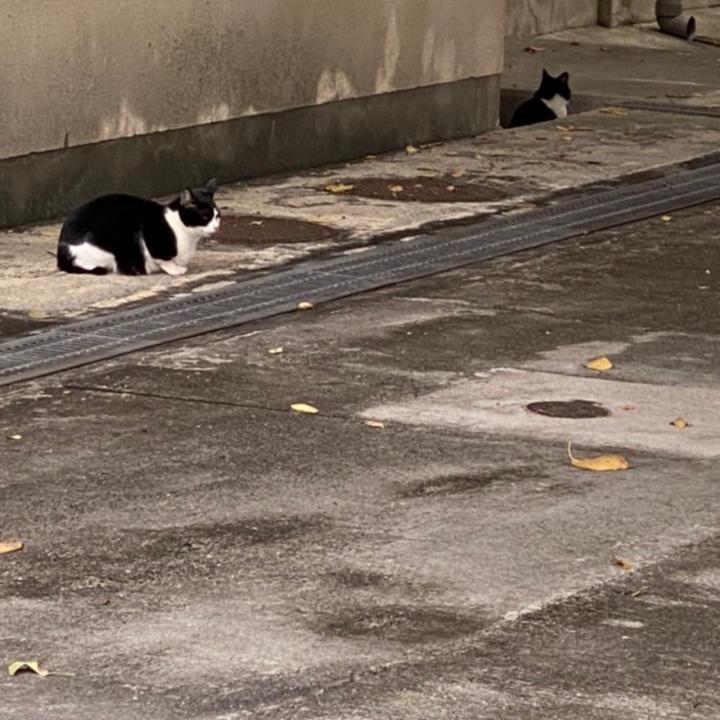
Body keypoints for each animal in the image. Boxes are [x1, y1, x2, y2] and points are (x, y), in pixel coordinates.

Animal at [57, 179, 220, 276]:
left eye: (217, 216)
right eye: (205, 216)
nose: (216, 227)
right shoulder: (150, 236)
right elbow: (163, 259)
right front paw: (174, 269)